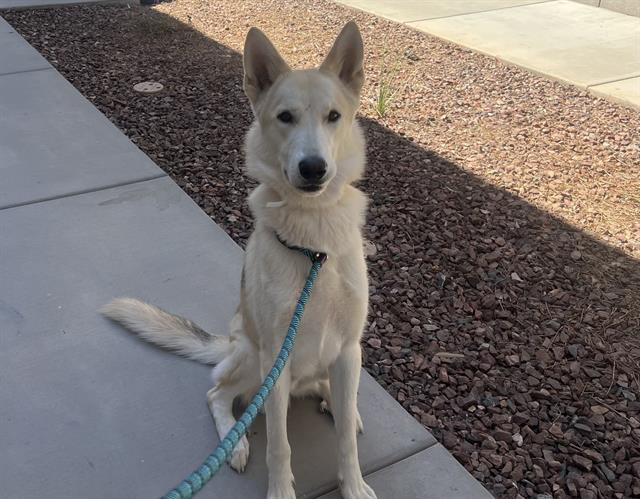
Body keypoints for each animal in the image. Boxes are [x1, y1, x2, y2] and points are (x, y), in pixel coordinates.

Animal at [102, 20, 378, 499]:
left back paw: (335, 401)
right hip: (252, 359)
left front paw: (354, 484)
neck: (314, 242)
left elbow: (344, 438)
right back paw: (236, 443)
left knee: (333, 395)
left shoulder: (348, 350)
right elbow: (280, 446)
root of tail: (228, 342)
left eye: (334, 116)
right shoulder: (275, 361)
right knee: (218, 395)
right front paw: (281, 490)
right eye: (285, 117)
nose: (314, 168)